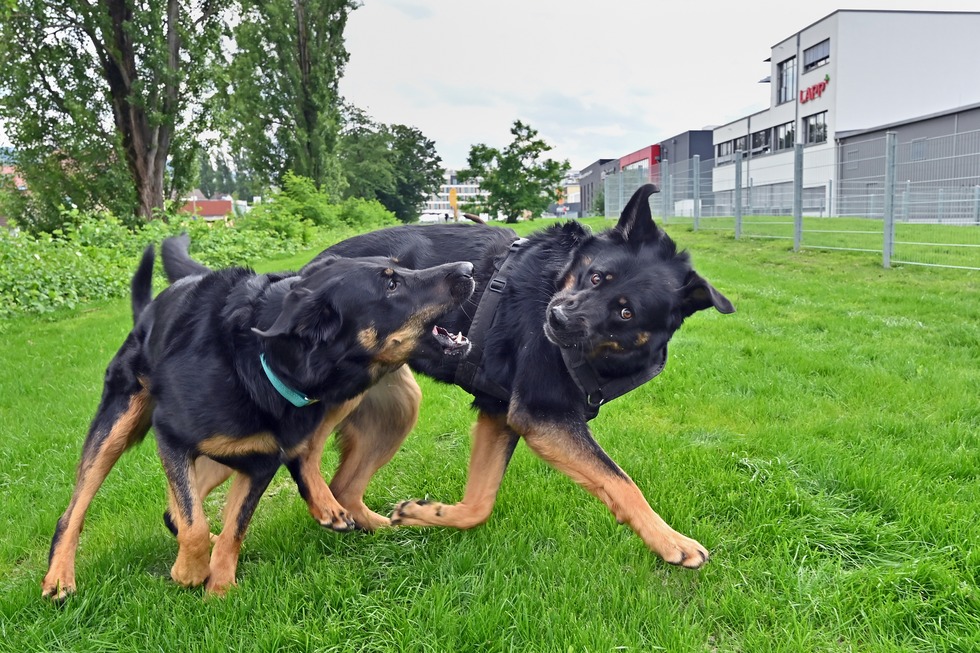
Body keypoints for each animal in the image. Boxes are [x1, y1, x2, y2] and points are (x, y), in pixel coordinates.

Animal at [43, 243, 474, 596]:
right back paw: (60, 578)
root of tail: (148, 312)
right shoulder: (172, 435)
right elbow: (196, 526)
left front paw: (220, 590)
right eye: (390, 285)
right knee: (74, 511)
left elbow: (234, 528)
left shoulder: (261, 462)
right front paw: (190, 572)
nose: (468, 268)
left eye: (401, 268)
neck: (258, 362)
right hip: (118, 424)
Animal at [170, 182, 736, 564]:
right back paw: (318, 508)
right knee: (303, 452)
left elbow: (479, 504)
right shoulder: (543, 417)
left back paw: (375, 524)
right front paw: (672, 542)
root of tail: (300, 278)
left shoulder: (500, 416)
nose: (553, 318)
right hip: (339, 391)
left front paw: (430, 515)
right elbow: (622, 483)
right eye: (596, 277)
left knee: (338, 480)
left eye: (625, 311)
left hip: (397, 406)